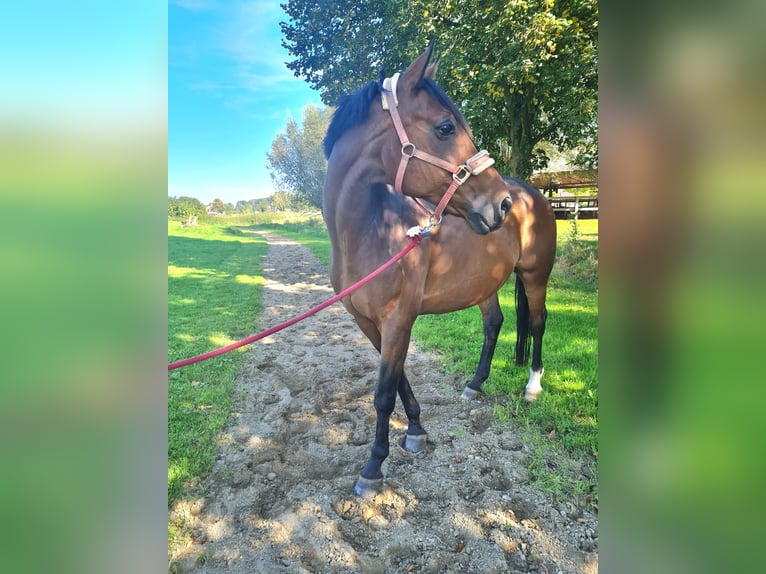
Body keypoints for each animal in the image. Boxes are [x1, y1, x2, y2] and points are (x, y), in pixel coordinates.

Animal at [320, 42, 556, 498]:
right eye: (446, 127)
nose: (501, 204)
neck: (369, 230)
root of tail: (531, 192)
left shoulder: (399, 318)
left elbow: (383, 393)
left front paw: (373, 468)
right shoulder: (368, 322)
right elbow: (398, 380)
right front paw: (415, 430)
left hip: (536, 276)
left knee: (537, 322)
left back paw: (533, 386)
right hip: (485, 284)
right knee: (495, 323)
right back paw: (475, 385)